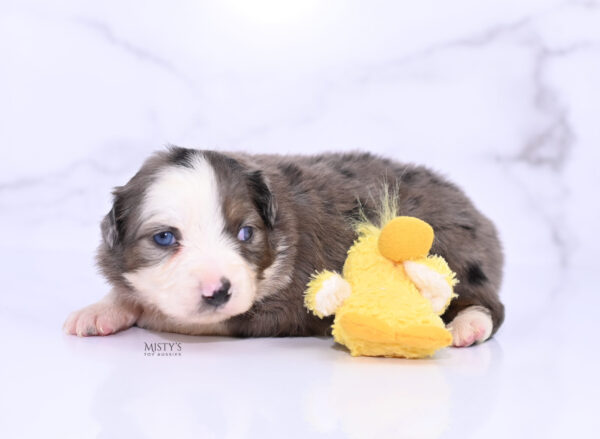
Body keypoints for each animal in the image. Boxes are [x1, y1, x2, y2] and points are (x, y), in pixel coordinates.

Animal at [63, 148, 504, 348]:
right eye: (164, 238)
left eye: (245, 233)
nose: (218, 291)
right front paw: (100, 310)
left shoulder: (285, 303)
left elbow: (182, 316)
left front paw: (140, 310)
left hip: (457, 251)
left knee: (489, 305)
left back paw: (464, 327)